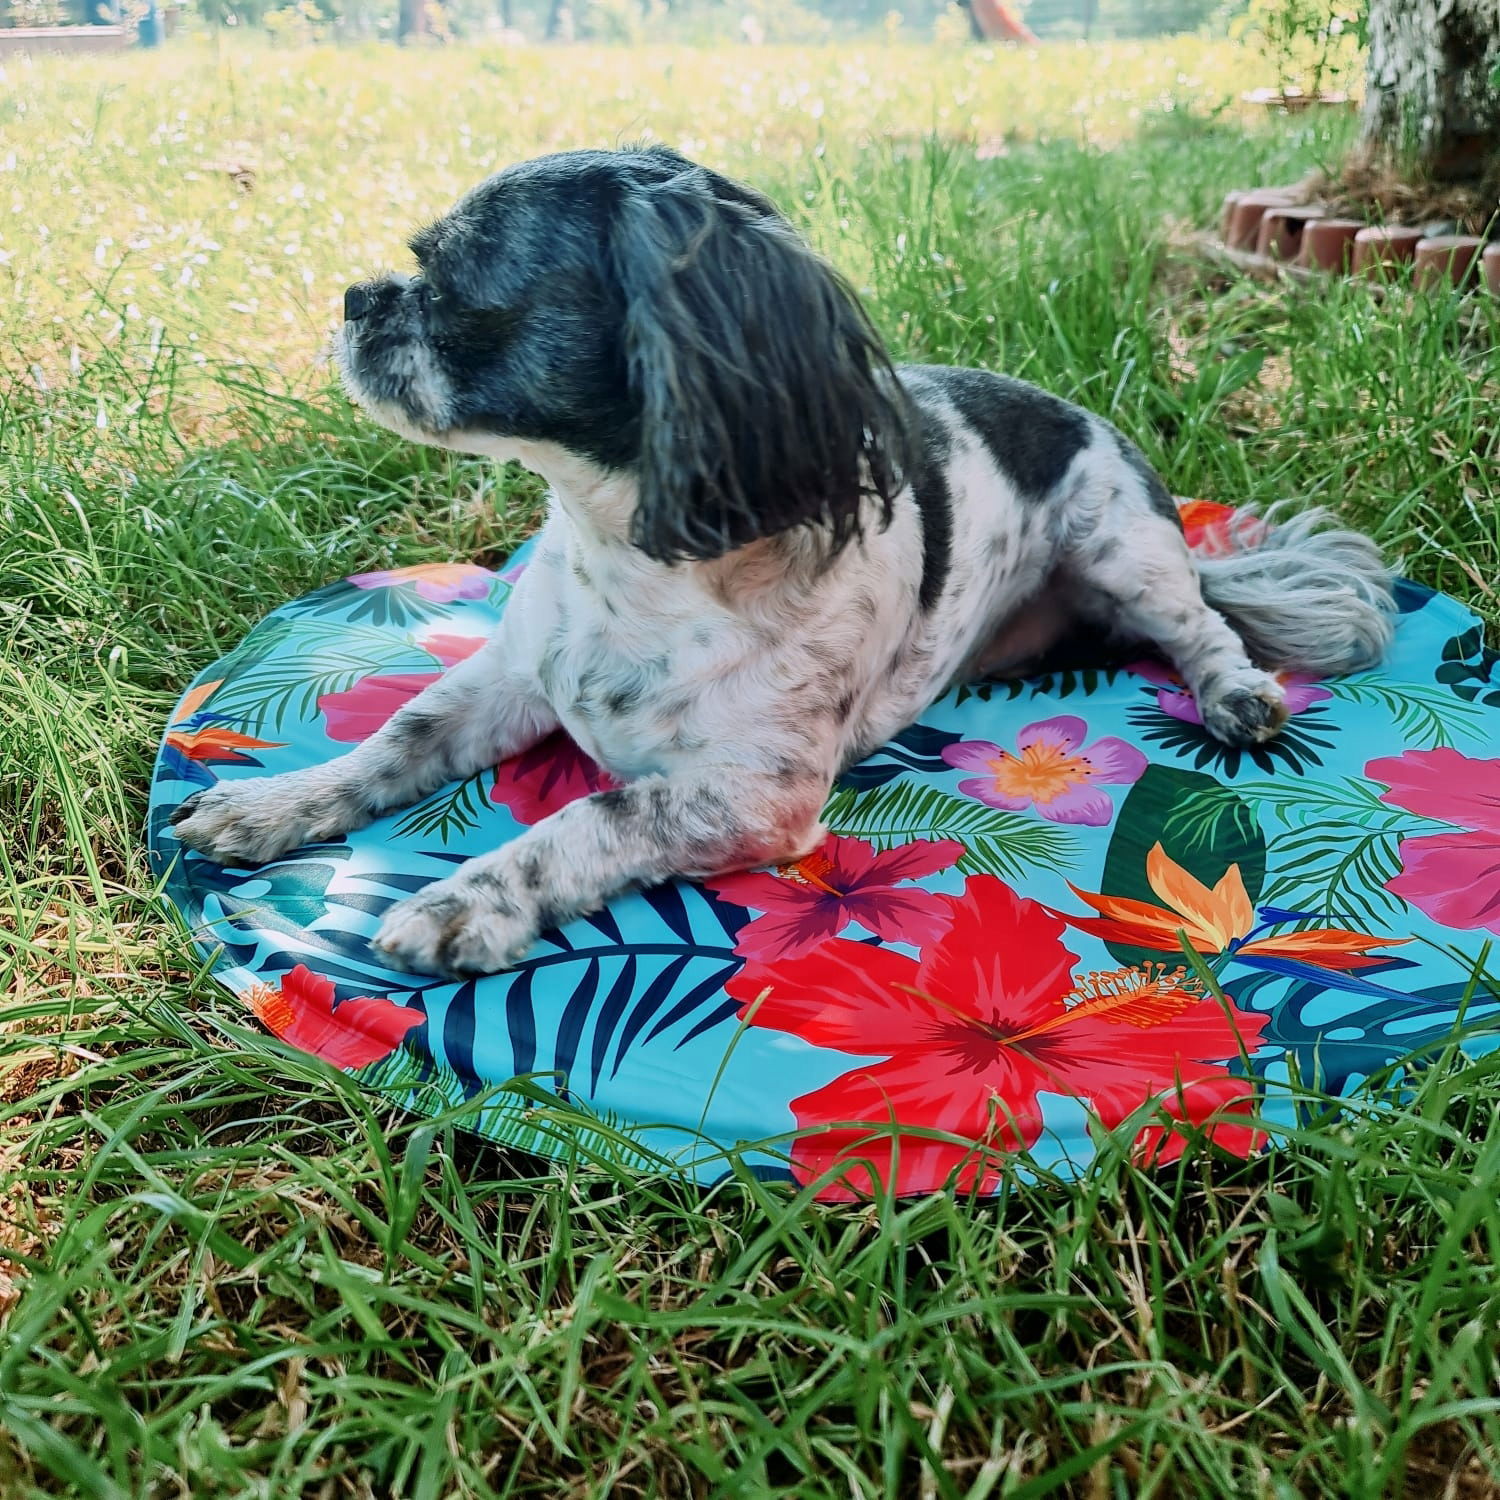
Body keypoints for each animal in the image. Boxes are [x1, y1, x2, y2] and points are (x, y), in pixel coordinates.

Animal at [171, 144, 1394, 977]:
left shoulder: (750, 797)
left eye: (458, 281)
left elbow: (592, 817)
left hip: (1122, 538)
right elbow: (397, 738)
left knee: (1200, 625)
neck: (633, 567)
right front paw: (274, 804)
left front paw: (467, 898)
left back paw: (1236, 690)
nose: (356, 296)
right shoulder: (511, 680)